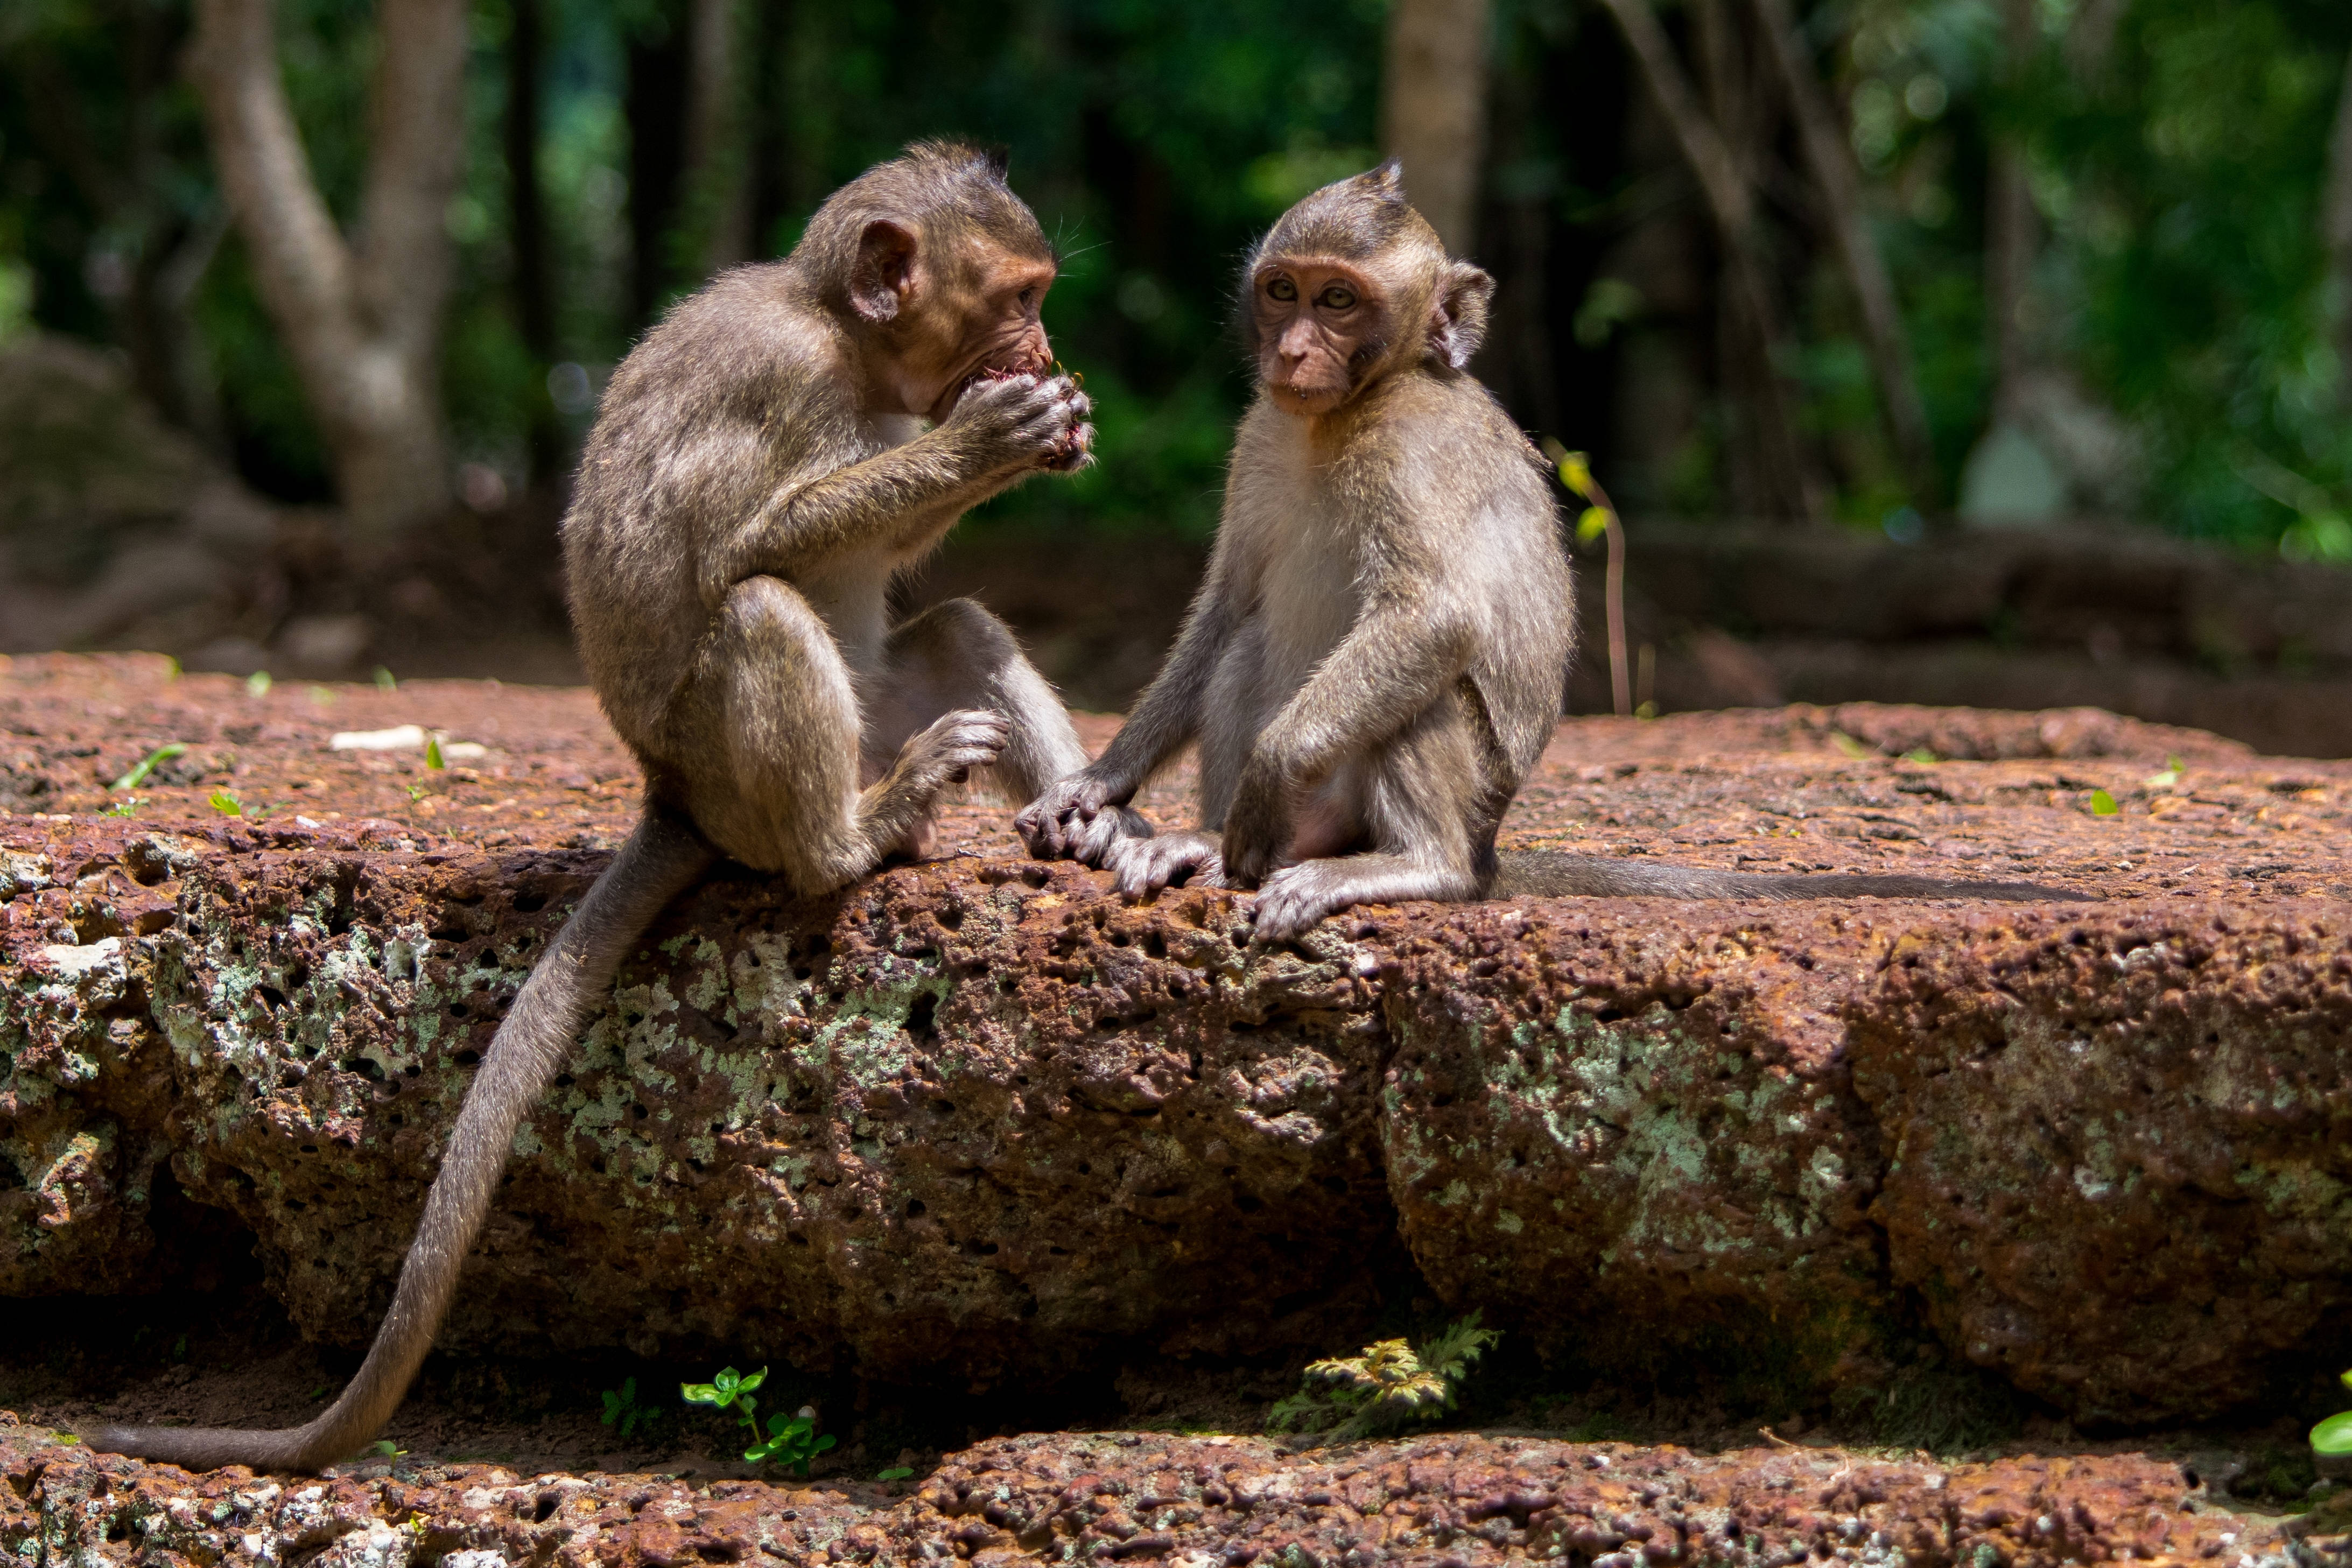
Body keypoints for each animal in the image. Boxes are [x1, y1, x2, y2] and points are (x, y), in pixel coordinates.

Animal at [87, 141, 1111, 1473]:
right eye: (1017, 299)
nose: (1043, 351)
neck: (840, 333)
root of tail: (671, 793)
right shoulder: (782, 373)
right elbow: (750, 545)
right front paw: (992, 436)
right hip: (733, 775)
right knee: (763, 610)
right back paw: (850, 843)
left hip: (864, 718)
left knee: (954, 632)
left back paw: (1090, 825)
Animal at [1016, 163, 2080, 939]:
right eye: (1282, 292)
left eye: (1339, 302)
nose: (1292, 351)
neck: (1346, 412)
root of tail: (1488, 847)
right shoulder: (1261, 436)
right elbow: (1228, 607)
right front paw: (1096, 784)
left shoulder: (1410, 448)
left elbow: (1435, 615)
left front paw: (1265, 778)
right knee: (1248, 650)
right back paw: (1199, 841)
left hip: (1441, 799)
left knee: (1425, 688)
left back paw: (1415, 867)